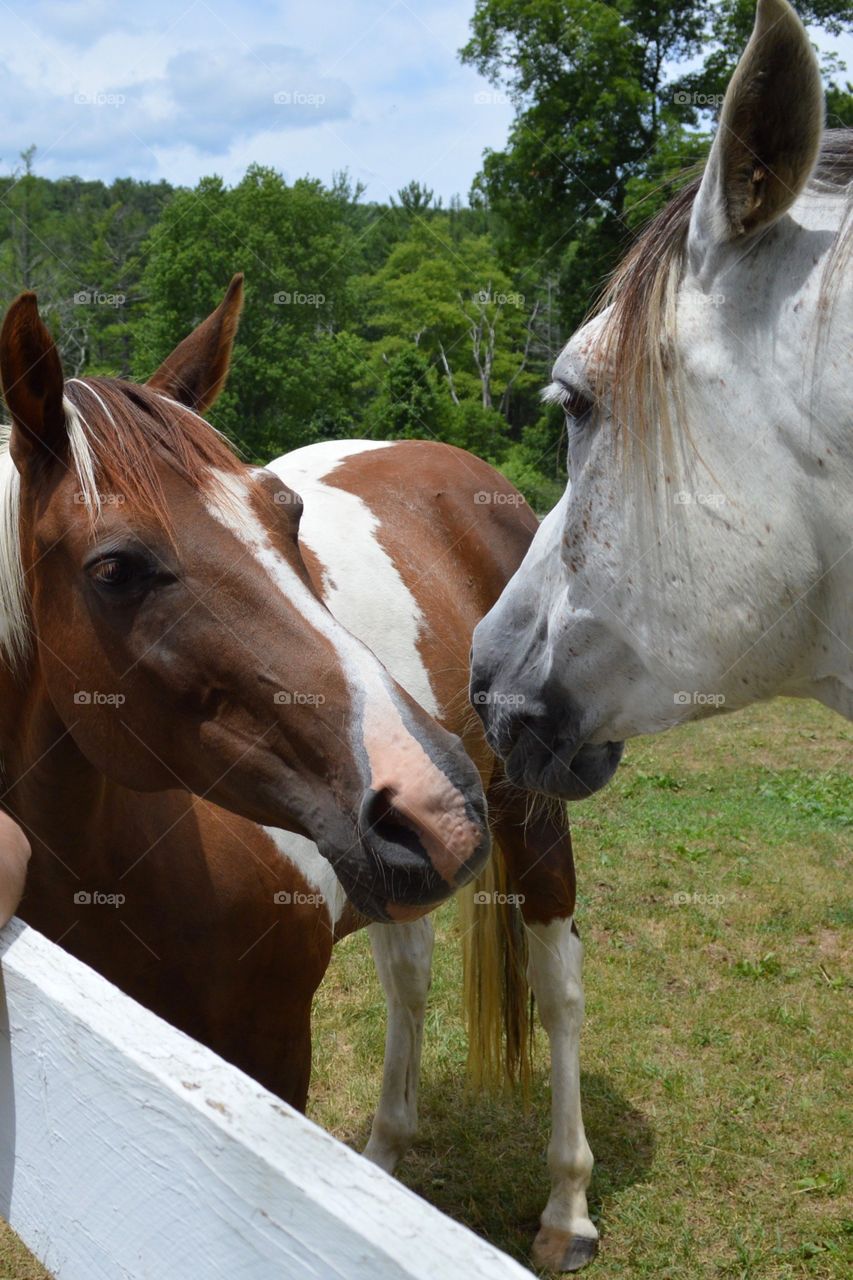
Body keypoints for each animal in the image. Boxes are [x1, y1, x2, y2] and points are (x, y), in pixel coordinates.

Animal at [0, 280, 594, 1269]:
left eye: (288, 516)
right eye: (115, 568)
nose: (434, 797)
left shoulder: (272, 1040)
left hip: (531, 822)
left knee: (558, 992)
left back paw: (566, 1207)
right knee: (409, 979)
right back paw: (384, 1158)